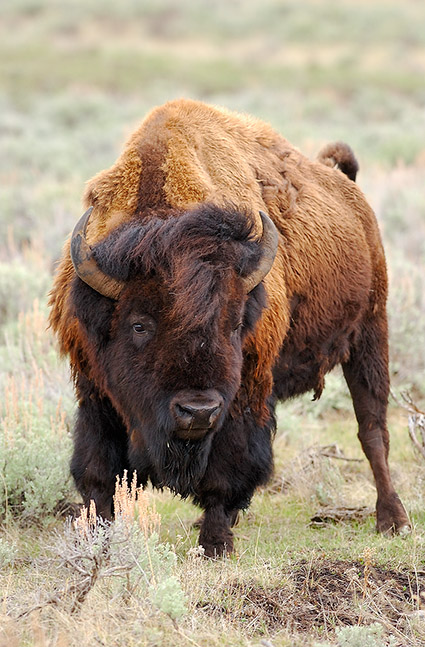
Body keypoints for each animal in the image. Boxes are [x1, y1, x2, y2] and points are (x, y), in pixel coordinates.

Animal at [48, 100, 410, 556]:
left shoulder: (244, 393)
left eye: (236, 323)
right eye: (139, 325)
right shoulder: (94, 389)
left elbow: (226, 473)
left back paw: (393, 520)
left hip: (369, 334)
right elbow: (97, 473)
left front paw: (215, 544)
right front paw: (99, 545)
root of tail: (347, 186)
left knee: (372, 430)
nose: (197, 411)